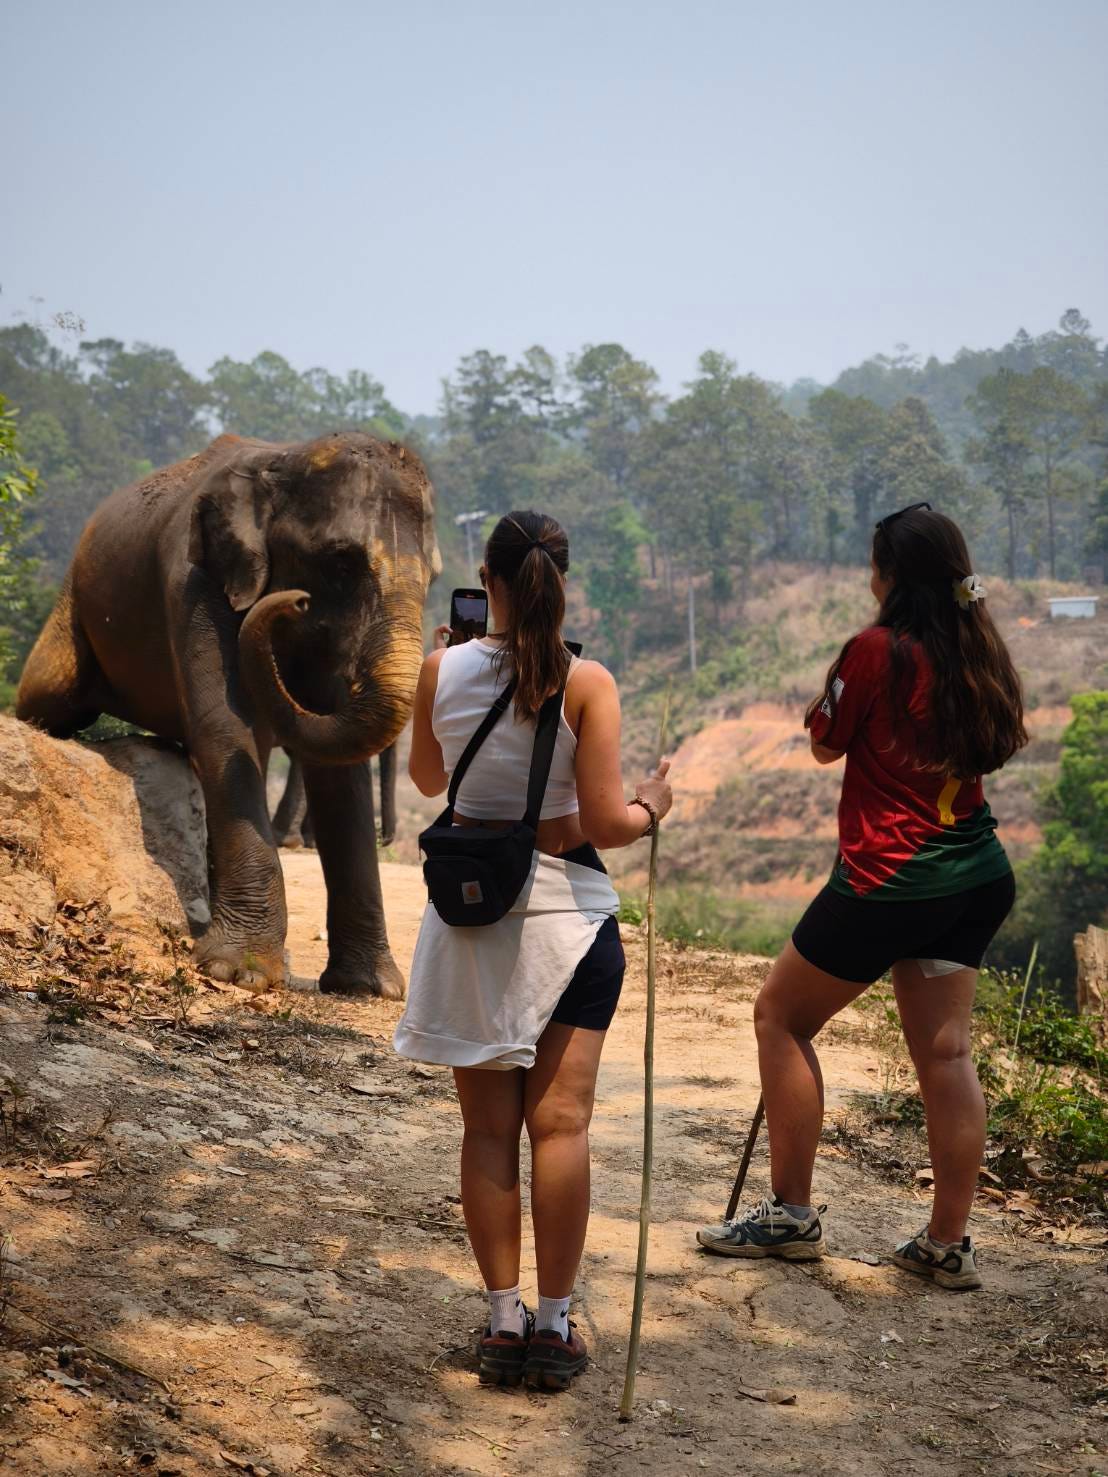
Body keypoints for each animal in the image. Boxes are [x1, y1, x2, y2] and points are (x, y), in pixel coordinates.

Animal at [17, 431, 439, 997]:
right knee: (48, 697)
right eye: (341, 561)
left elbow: (338, 771)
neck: (285, 457)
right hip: (71, 612)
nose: (295, 602)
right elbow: (226, 727)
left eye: (435, 576)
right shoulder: (192, 580)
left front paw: (371, 987)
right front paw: (239, 974)